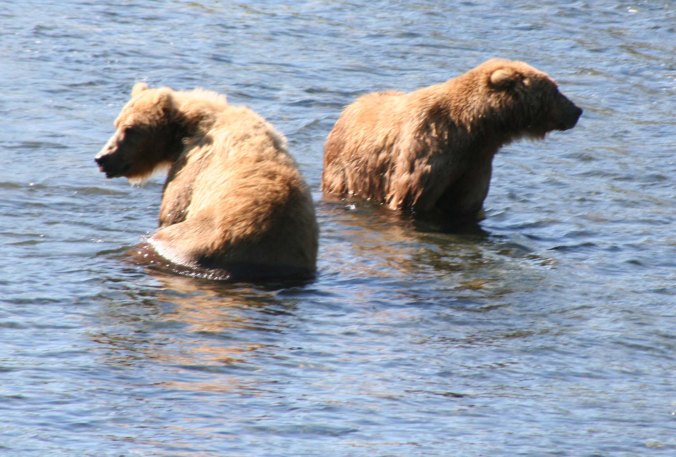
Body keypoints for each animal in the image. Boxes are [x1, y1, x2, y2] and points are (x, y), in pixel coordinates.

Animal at [95, 82, 318, 281]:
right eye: (117, 124)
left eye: (129, 129)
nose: (102, 158)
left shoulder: (192, 169)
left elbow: (173, 209)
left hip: (195, 241)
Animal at [322, 58, 582, 224]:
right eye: (555, 89)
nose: (577, 111)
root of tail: (349, 106)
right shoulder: (428, 152)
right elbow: (412, 198)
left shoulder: (475, 163)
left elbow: (466, 202)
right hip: (346, 169)